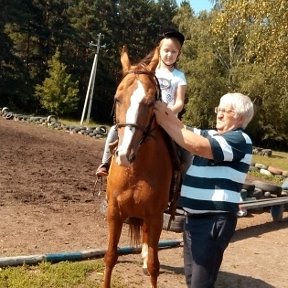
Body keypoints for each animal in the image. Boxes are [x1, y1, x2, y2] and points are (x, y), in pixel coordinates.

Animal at [102, 45, 172, 288]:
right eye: (117, 98)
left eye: (151, 102)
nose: (124, 154)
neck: (136, 171)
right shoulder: (114, 212)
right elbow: (110, 257)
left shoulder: (156, 217)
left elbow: (154, 265)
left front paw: (147, 261)